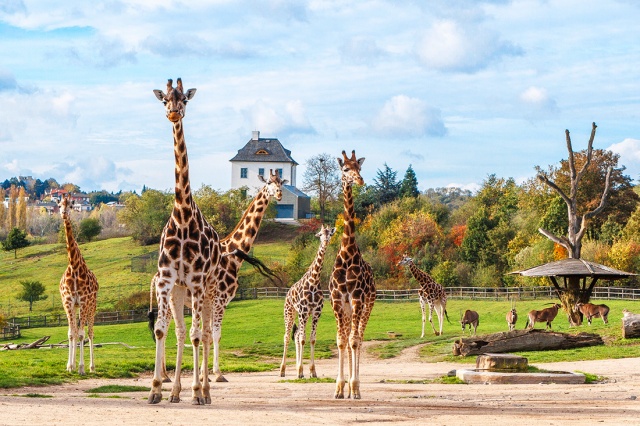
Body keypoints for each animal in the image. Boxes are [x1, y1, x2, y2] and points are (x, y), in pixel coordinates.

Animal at [282, 225, 338, 378]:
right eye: (320, 234)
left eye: (330, 234)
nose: (325, 241)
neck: (314, 281)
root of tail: (287, 294)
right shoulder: (304, 311)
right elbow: (303, 339)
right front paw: (301, 372)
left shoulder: (316, 312)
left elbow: (312, 338)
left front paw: (312, 371)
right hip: (290, 312)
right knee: (287, 336)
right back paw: (282, 370)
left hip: (301, 315)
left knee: (296, 335)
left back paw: (296, 368)